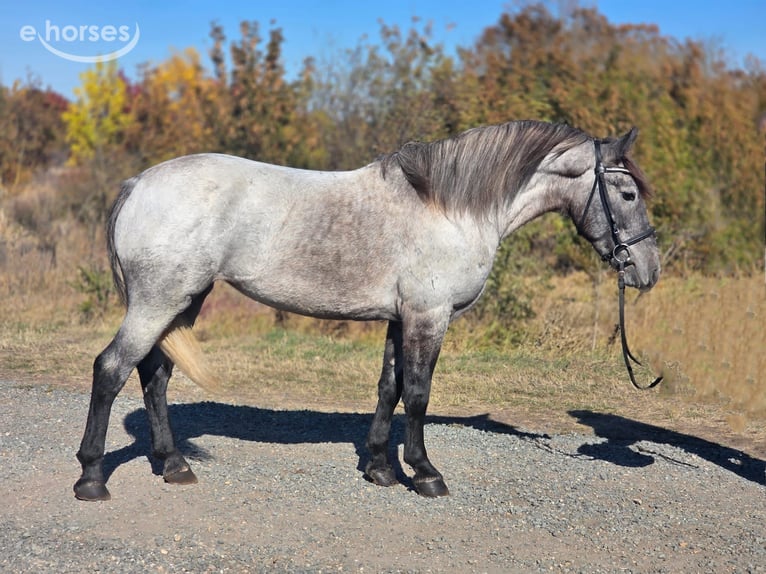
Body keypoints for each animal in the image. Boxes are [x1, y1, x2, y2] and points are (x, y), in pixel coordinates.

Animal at [74, 120, 660, 501]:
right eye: (628, 193)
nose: (647, 270)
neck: (449, 208)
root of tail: (137, 184)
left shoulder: (400, 319)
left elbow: (389, 389)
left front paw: (380, 469)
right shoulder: (428, 316)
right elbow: (418, 394)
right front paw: (423, 473)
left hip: (182, 303)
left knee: (154, 375)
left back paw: (172, 465)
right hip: (159, 302)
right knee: (111, 369)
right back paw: (92, 478)